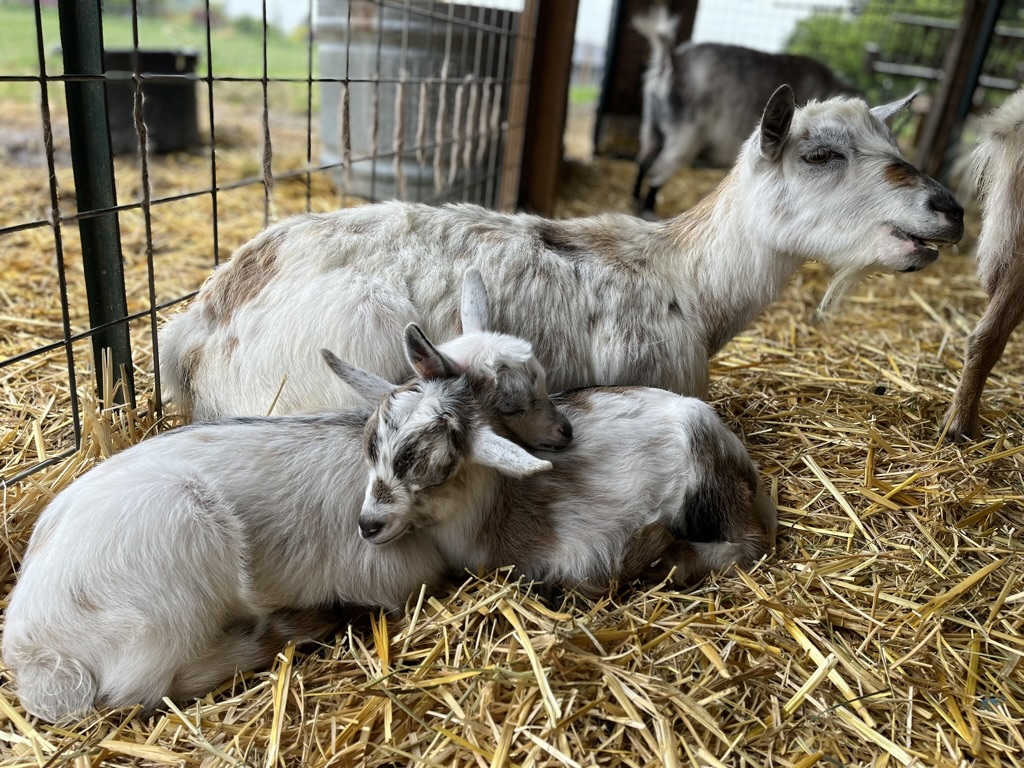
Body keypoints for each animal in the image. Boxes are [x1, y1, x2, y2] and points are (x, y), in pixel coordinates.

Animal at [356, 324, 778, 597]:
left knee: (750, 544)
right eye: (371, 449)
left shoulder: (584, 554)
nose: (368, 524)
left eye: (441, 471)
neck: (496, 506)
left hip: (710, 480)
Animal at [632, 7, 862, 218]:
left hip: (650, 125)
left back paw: (635, 200)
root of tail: (671, 63)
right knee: (659, 168)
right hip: (684, 136)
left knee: (644, 159)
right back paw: (648, 210)